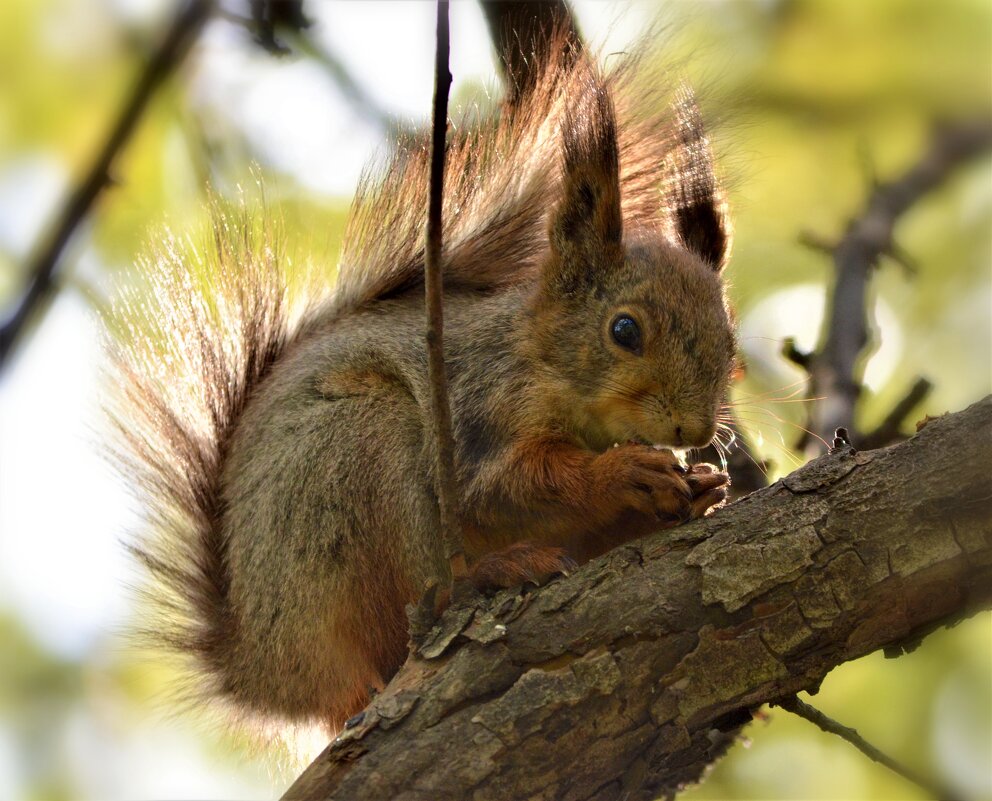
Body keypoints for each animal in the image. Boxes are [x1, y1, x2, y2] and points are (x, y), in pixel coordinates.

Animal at [108, 43, 736, 736]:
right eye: (624, 330)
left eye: (732, 342)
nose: (693, 431)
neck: (543, 364)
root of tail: (269, 674)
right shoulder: (474, 408)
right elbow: (506, 488)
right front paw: (625, 474)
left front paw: (698, 488)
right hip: (361, 457)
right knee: (421, 592)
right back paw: (492, 572)